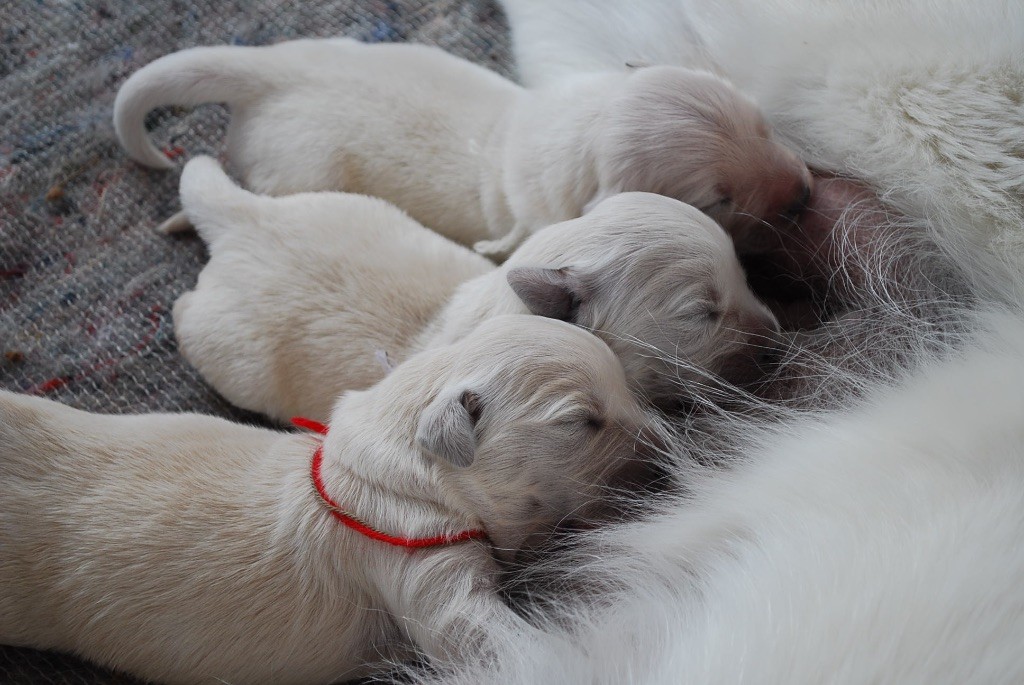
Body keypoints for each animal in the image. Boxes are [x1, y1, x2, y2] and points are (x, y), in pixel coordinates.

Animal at [172, 157, 774, 421]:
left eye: (745, 276)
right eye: (701, 312)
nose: (777, 336)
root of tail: (242, 218)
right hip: (230, 353)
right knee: (186, 314)